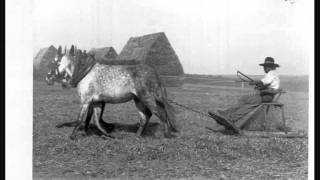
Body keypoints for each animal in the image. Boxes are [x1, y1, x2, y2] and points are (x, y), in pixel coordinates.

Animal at [45, 45, 178, 139]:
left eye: (56, 62)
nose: (47, 78)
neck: (85, 73)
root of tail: (154, 72)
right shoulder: (96, 102)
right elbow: (94, 120)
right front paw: (106, 134)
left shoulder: (85, 101)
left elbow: (80, 119)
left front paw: (73, 136)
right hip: (138, 100)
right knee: (145, 117)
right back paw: (137, 136)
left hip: (147, 98)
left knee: (161, 114)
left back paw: (167, 135)